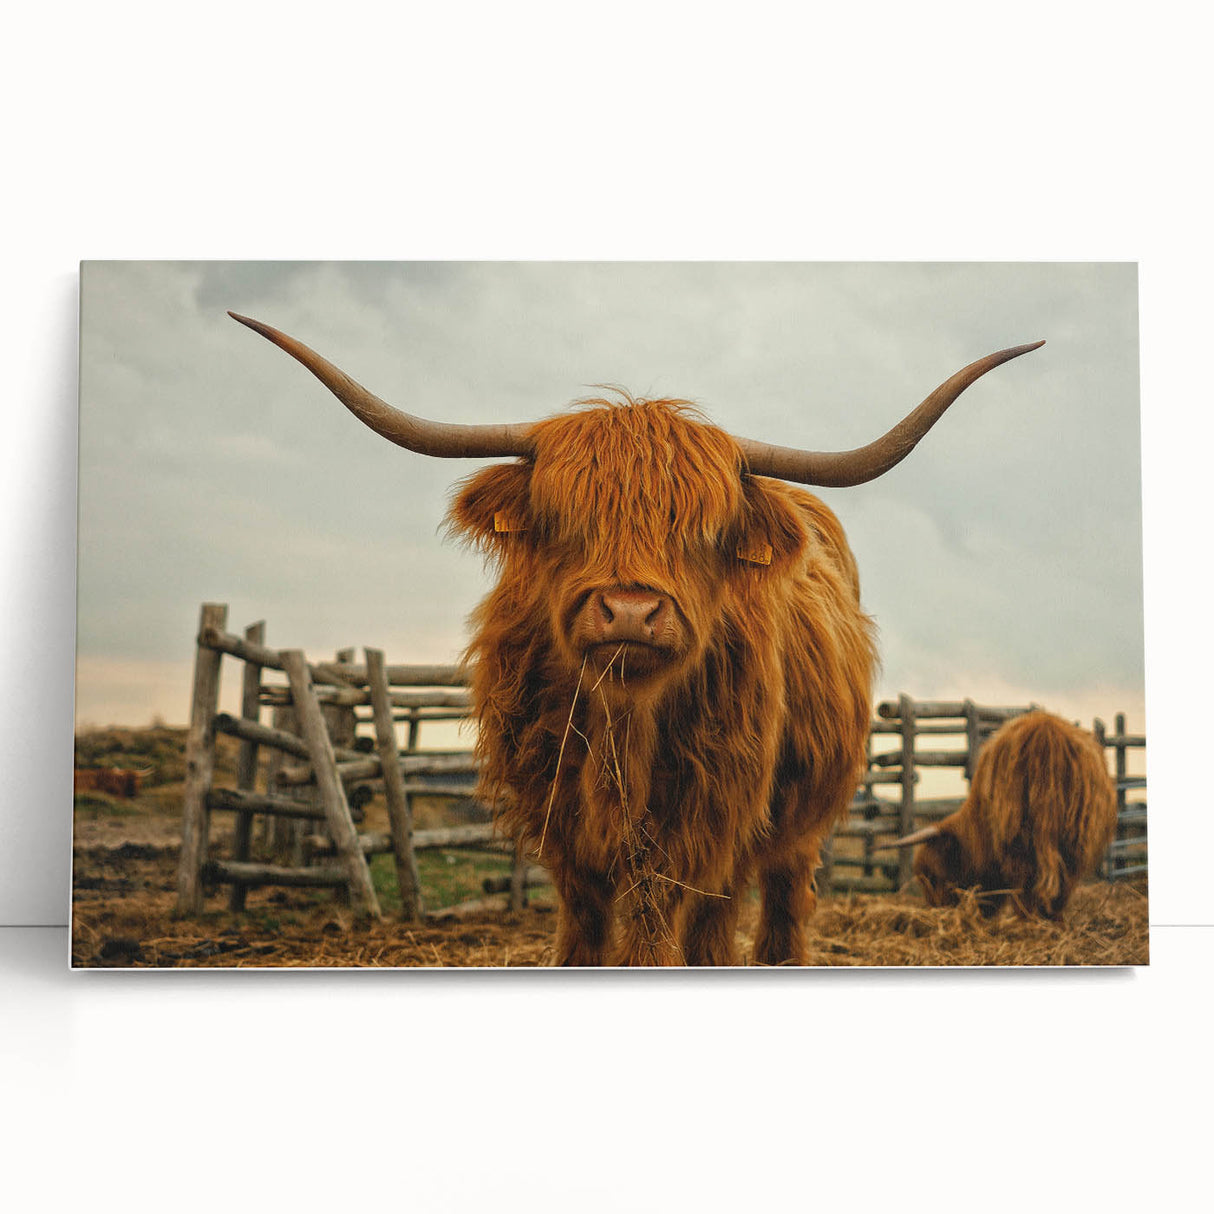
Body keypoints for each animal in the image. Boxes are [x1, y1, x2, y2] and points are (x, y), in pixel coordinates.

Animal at [230, 310, 1042, 964]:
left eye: (703, 532)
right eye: (565, 519)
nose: (628, 612)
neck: (623, 726)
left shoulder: (697, 825)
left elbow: (660, 928)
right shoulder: (562, 828)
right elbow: (586, 929)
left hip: (794, 822)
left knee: (769, 908)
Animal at [882, 710, 1117, 919]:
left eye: (932, 876)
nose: (938, 910)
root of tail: (1046, 732)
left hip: (1018, 834)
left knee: (1026, 878)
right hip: (1075, 836)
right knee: (1062, 879)